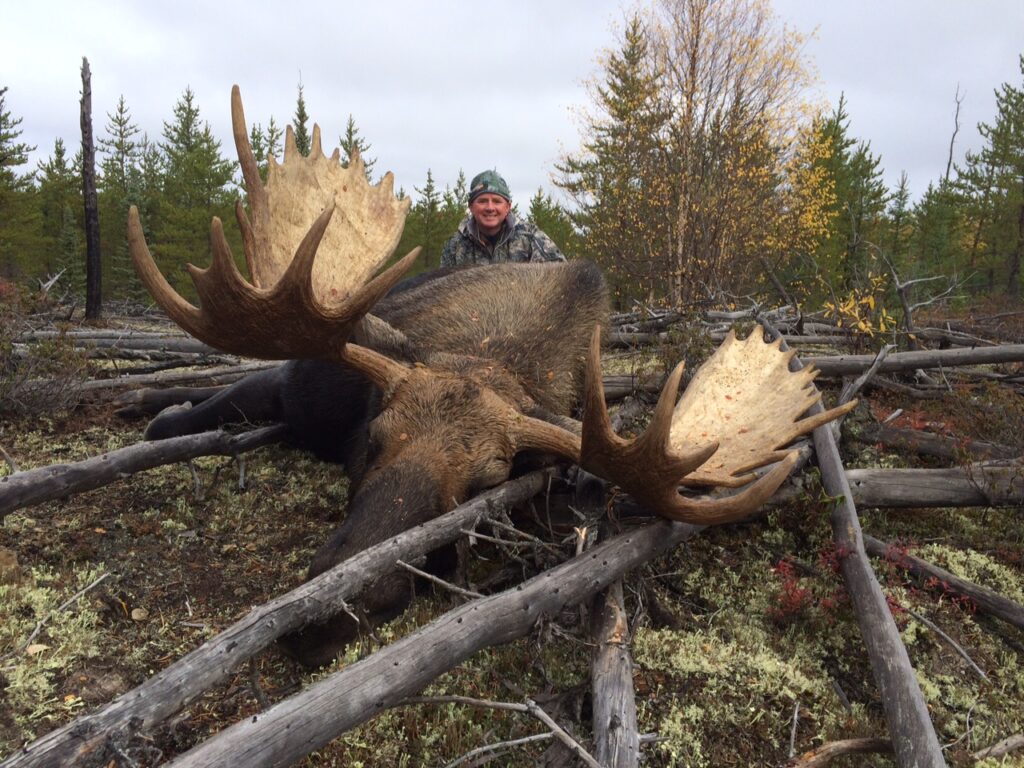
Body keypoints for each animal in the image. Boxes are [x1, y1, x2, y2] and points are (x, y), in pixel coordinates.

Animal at [123, 87, 851, 671]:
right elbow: (209, 406)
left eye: (484, 487)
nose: (326, 617)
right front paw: (159, 412)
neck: (494, 352)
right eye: (372, 439)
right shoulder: (304, 386)